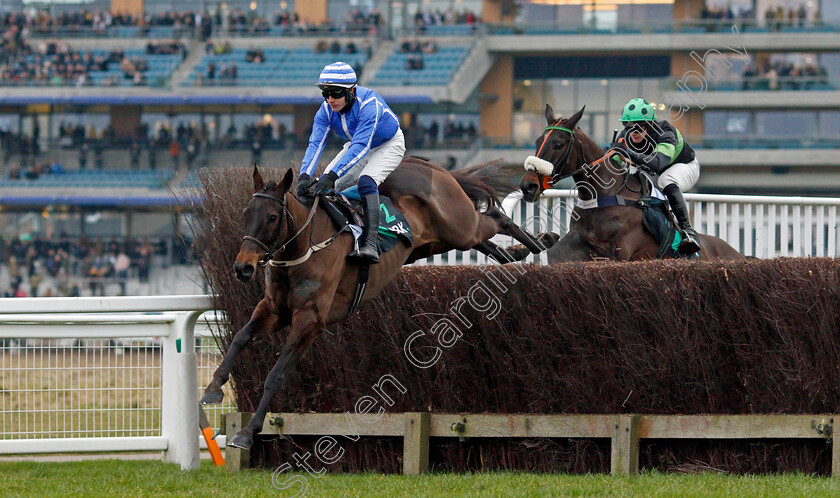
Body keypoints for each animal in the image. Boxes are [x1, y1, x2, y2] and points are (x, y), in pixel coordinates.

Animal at [203, 161, 556, 450]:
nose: (243, 268)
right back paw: (521, 251)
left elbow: (276, 375)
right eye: (245, 215)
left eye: (273, 217)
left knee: (493, 218)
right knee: (489, 243)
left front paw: (246, 433)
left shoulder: (310, 320)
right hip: (439, 241)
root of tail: (433, 167)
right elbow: (240, 337)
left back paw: (540, 241)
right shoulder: (275, 310)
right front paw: (213, 389)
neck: (304, 247)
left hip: (460, 225)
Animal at [512, 104, 740, 260]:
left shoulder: (621, 251)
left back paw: (689, 238)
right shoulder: (575, 244)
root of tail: (737, 253)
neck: (601, 197)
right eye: (537, 141)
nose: (528, 186)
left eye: (558, 144)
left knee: (670, 183)